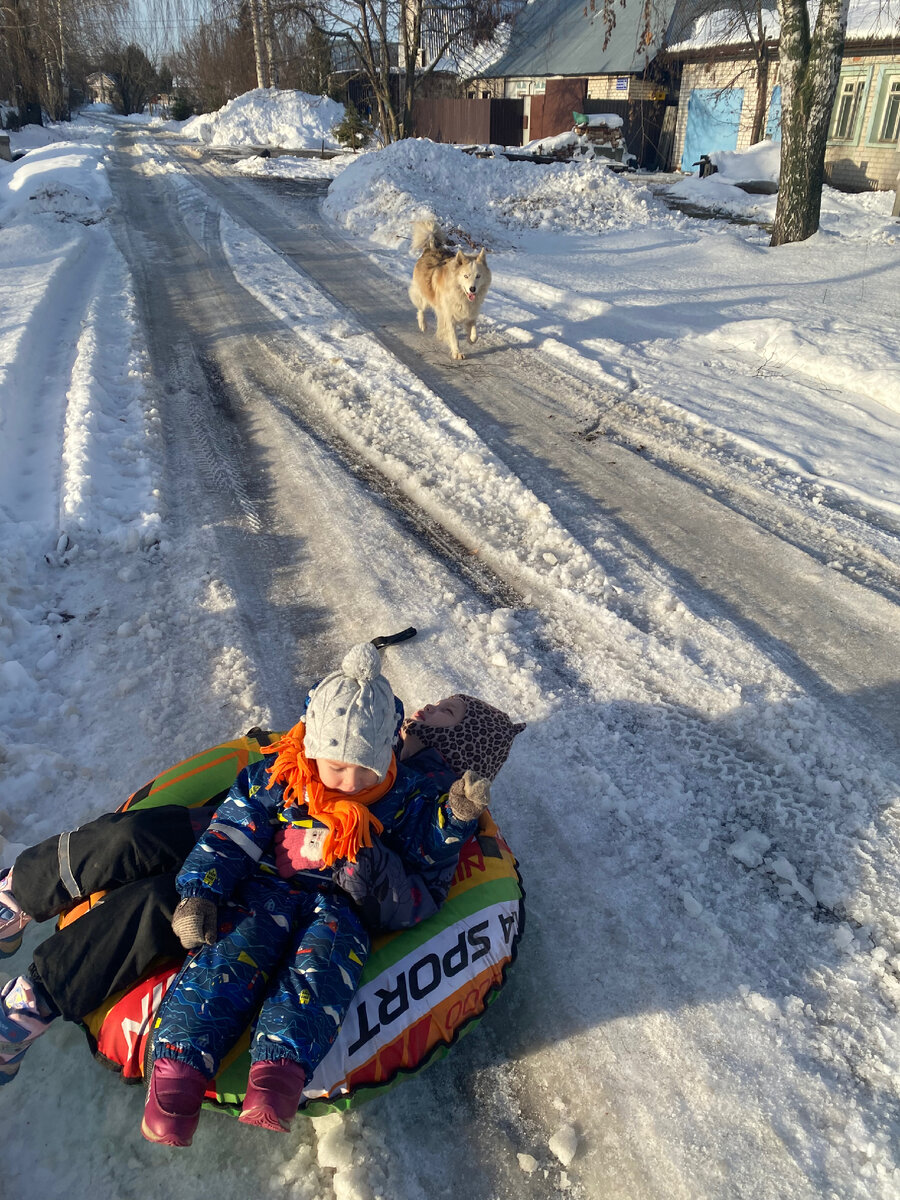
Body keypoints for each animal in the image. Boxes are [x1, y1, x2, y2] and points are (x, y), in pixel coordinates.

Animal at [410, 220, 494, 357]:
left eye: (478, 276)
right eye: (466, 276)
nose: (472, 289)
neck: (460, 294)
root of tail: (431, 249)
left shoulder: (470, 313)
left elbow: (474, 331)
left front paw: (470, 339)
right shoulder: (449, 316)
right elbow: (454, 336)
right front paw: (457, 352)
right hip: (423, 295)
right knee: (421, 309)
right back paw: (423, 325)